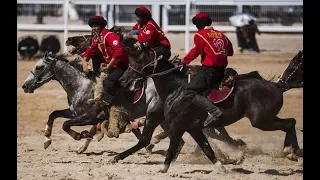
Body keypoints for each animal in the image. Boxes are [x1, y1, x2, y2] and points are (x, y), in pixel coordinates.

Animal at [117, 38, 302, 173]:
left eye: (140, 61)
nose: (123, 79)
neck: (176, 88)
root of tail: (277, 86)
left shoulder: (178, 125)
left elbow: (172, 145)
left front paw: (163, 167)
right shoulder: (193, 128)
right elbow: (207, 148)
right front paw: (221, 168)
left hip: (261, 121)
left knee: (289, 123)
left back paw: (291, 151)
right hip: (265, 119)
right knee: (290, 122)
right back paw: (292, 151)